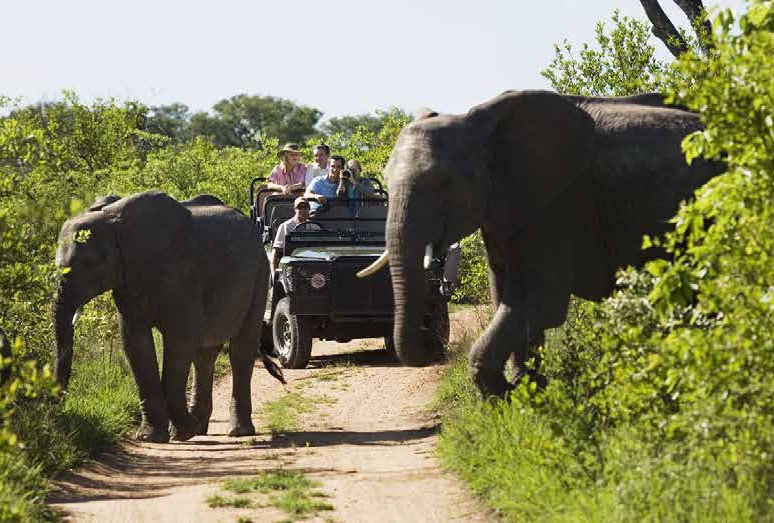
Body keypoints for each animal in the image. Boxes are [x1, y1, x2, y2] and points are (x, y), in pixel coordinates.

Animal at [53, 191, 284, 442]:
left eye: (89, 263)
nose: (60, 405)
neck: (114, 222)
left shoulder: (181, 274)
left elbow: (180, 340)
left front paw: (182, 432)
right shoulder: (127, 281)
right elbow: (136, 344)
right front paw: (152, 437)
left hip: (260, 275)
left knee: (240, 351)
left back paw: (235, 431)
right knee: (204, 354)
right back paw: (199, 428)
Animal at [358, 90, 724, 398]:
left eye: (444, 184)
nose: (432, 348)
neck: (482, 129)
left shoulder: (558, 205)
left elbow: (537, 301)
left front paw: (507, 394)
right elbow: (504, 296)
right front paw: (529, 390)